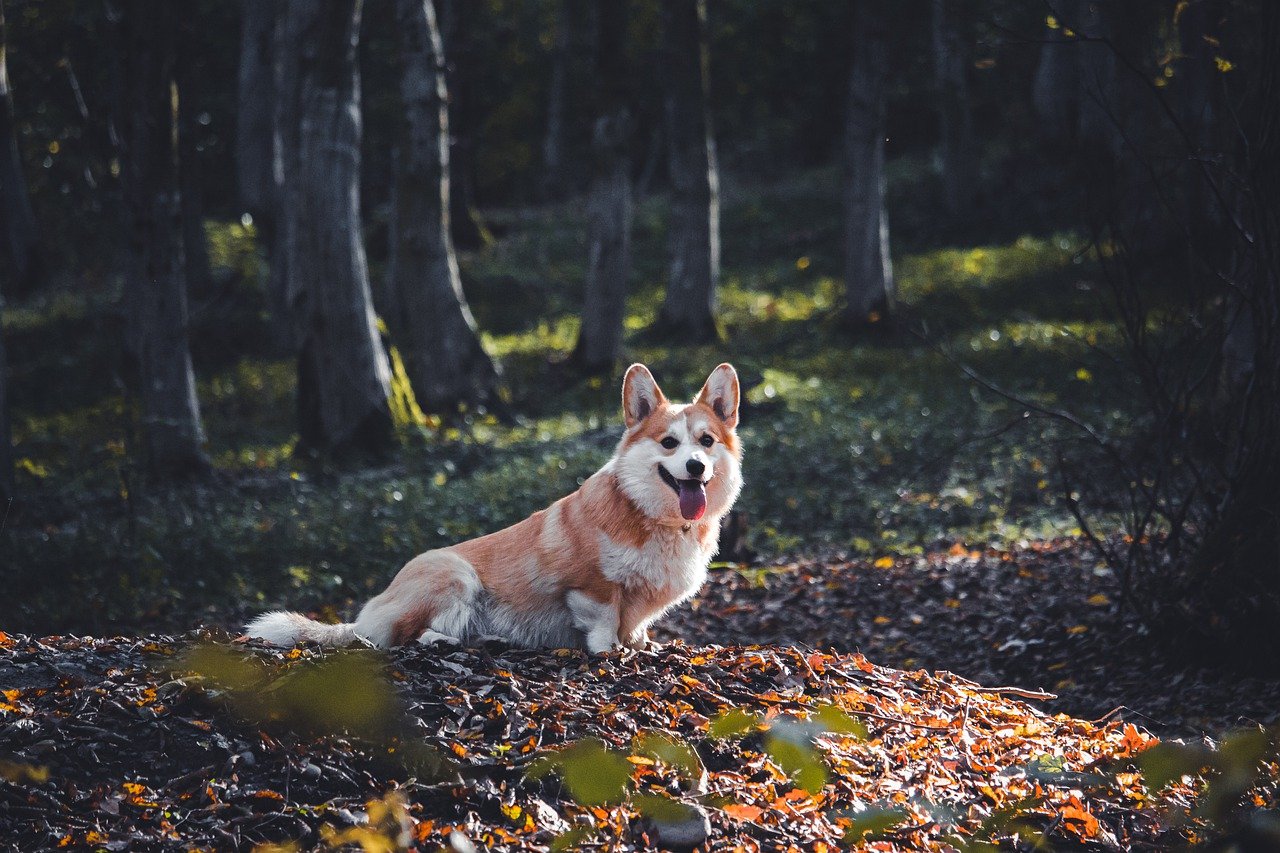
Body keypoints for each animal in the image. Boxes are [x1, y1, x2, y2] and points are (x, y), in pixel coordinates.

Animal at [245, 361, 747, 650]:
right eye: (669, 443)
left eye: (706, 441)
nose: (696, 467)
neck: (653, 516)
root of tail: (364, 614)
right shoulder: (591, 587)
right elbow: (604, 626)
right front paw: (610, 655)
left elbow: (638, 630)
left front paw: (644, 647)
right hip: (455, 575)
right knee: (397, 637)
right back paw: (438, 641)